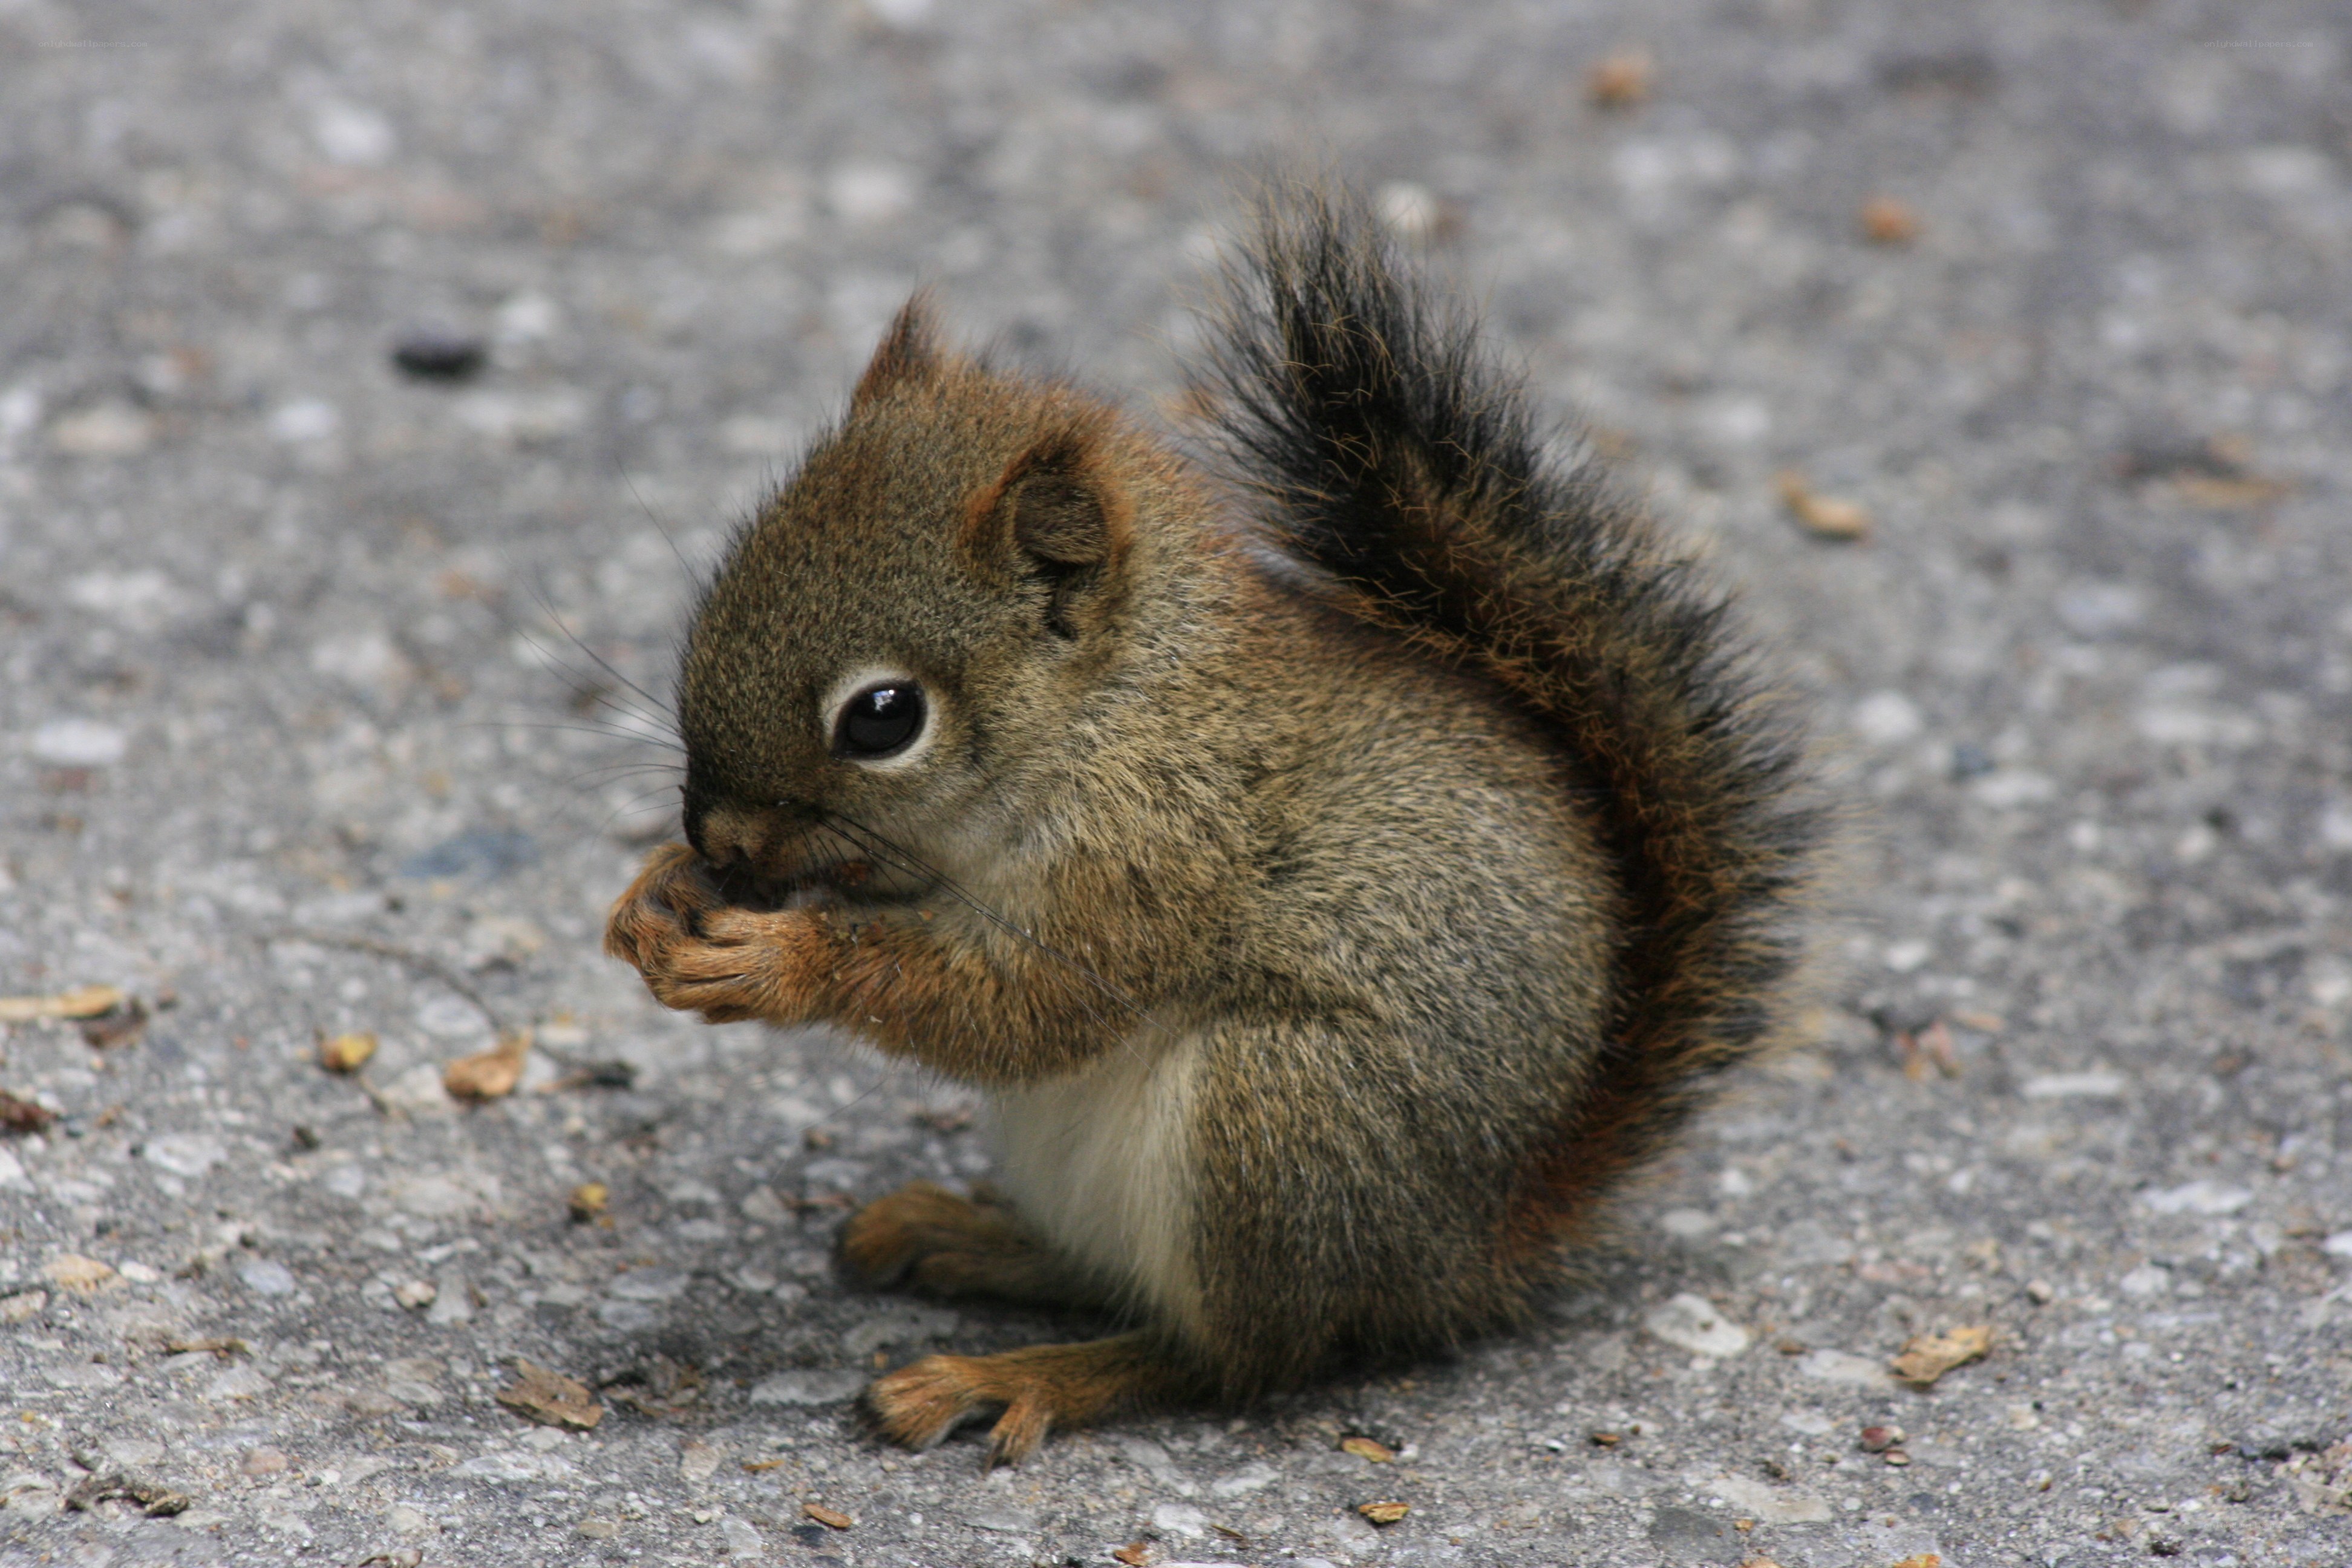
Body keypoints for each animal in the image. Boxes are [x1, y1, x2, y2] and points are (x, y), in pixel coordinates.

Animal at [604, 189, 1821, 1465]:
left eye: (883, 717)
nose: (720, 838)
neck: (1112, 711)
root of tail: (1464, 1255)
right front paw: (654, 897)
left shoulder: (1155, 855)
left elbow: (1025, 1003)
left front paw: (776, 960)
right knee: (1114, 1278)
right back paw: (968, 1236)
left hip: (1278, 1119)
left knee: (1231, 1357)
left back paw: (1017, 1373)